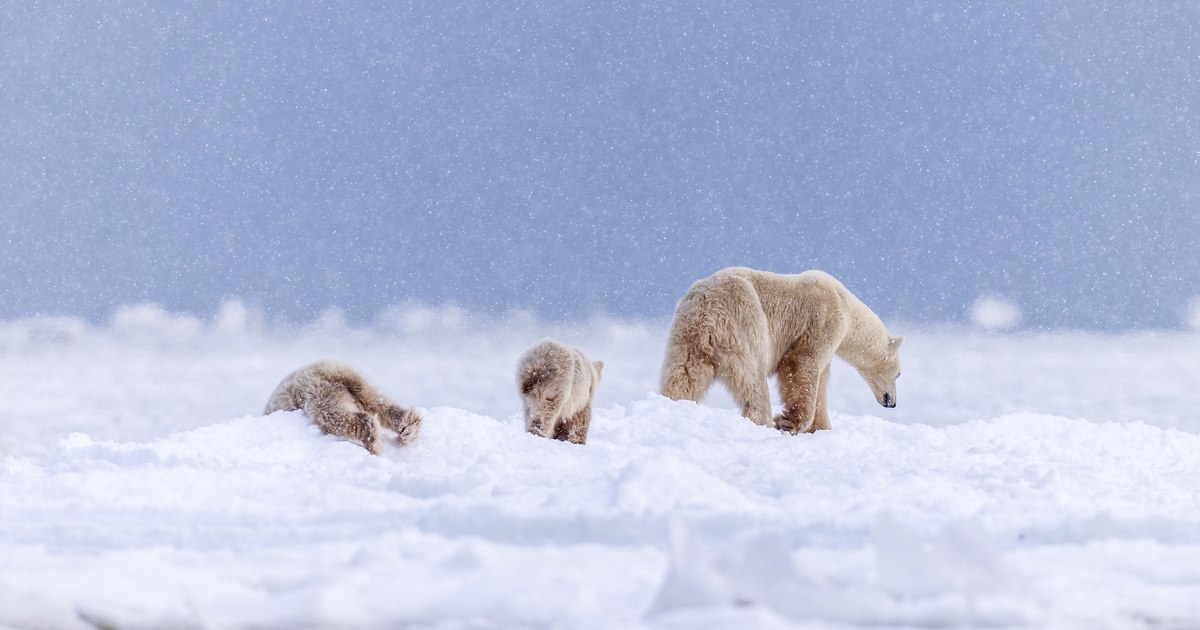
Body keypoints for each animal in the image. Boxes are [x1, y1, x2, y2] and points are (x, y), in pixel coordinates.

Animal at [264, 360, 422, 454]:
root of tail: (331, 372)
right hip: (357, 382)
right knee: (377, 402)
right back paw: (408, 427)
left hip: (319, 395)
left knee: (334, 417)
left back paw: (373, 444)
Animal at [660, 267, 903, 434]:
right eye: (899, 374)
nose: (892, 402)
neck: (847, 307)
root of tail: (705, 309)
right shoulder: (824, 320)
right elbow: (801, 363)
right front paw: (789, 423)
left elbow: (821, 382)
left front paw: (822, 427)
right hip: (744, 321)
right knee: (753, 381)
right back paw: (763, 420)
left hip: (686, 335)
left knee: (684, 373)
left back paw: (673, 401)